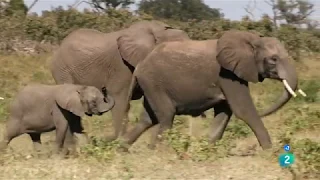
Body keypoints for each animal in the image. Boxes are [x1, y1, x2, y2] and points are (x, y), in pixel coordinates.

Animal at [118, 29, 308, 150]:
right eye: (273, 59)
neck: (251, 39)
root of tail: (140, 64)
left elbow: (225, 112)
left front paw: (208, 149)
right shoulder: (227, 74)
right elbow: (243, 110)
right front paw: (270, 151)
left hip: (151, 85)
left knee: (148, 119)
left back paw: (124, 149)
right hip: (154, 83)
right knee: (165, 116)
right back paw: (160, 152)